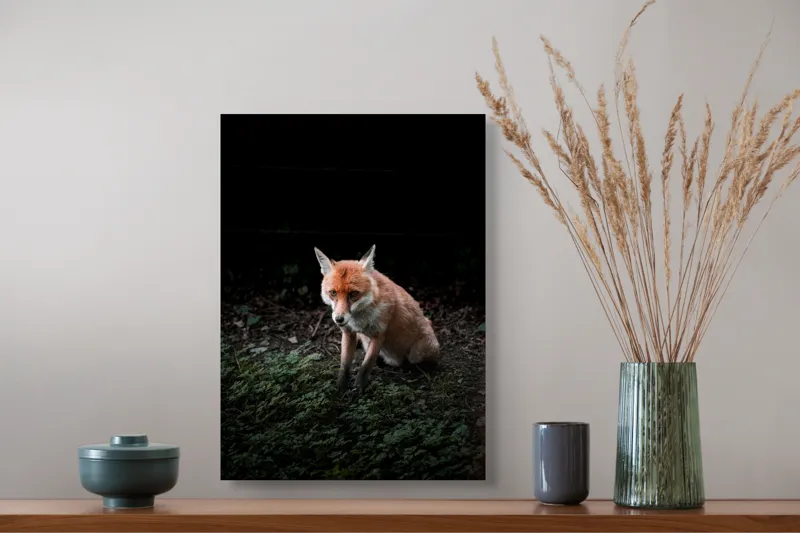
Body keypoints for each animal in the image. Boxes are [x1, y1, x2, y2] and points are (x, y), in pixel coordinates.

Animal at [313, 244, 441, 393]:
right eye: (333, 293)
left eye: (354, 294)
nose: (339, 319)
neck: (359, 320)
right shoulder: (348, 333)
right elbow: (344, 365)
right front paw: (341, 387)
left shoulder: (379, 334)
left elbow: (366, 365)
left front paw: (359, 388)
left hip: (418, 353)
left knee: (420, 362)